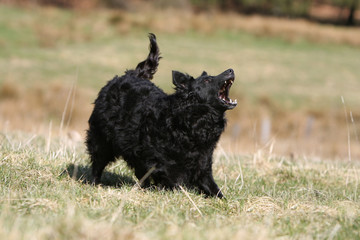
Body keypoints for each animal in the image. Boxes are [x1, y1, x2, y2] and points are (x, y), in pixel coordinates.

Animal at [86, 32, 238, 197]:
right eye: (207, 80)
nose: (231, 70)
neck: (190, 121)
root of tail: (130, 75)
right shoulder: (165, 166)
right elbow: (175, 184)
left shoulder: (202, 164)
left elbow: (215, 191)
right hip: (102, 140)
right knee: (98, 163)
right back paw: (94, 184)